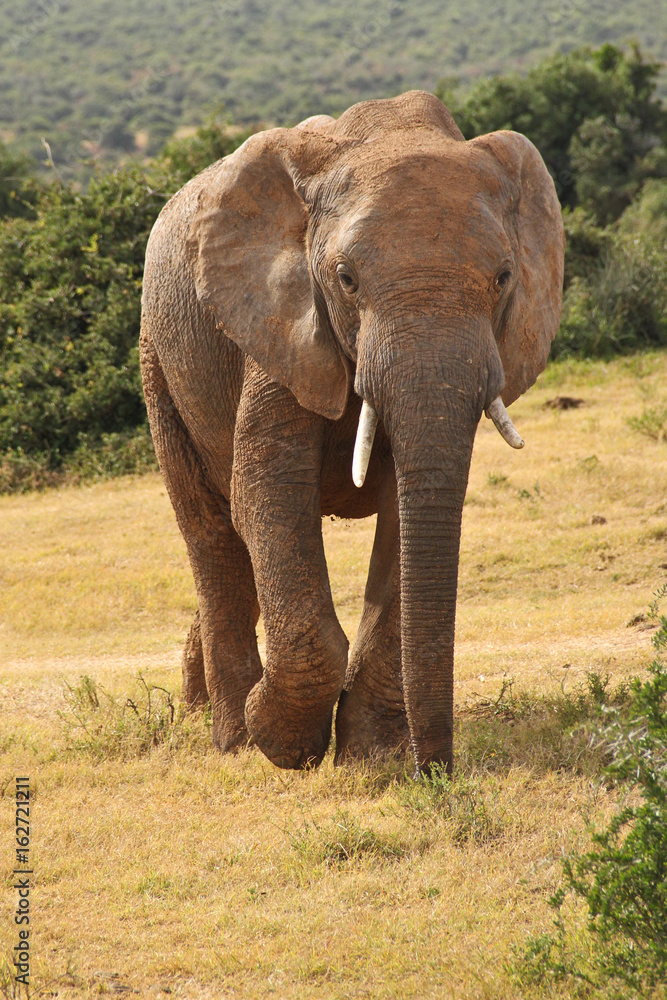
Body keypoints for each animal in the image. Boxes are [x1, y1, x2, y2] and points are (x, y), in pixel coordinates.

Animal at [140, 90, 564, 772]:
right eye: (345, 279)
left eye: (503, 277)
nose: (438, 771)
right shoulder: (278, 322)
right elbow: (268, 492)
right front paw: (282, 743)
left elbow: (404, 511)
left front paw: (374, 757)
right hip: (159, 358)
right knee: (212, 534)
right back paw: (232, 739)